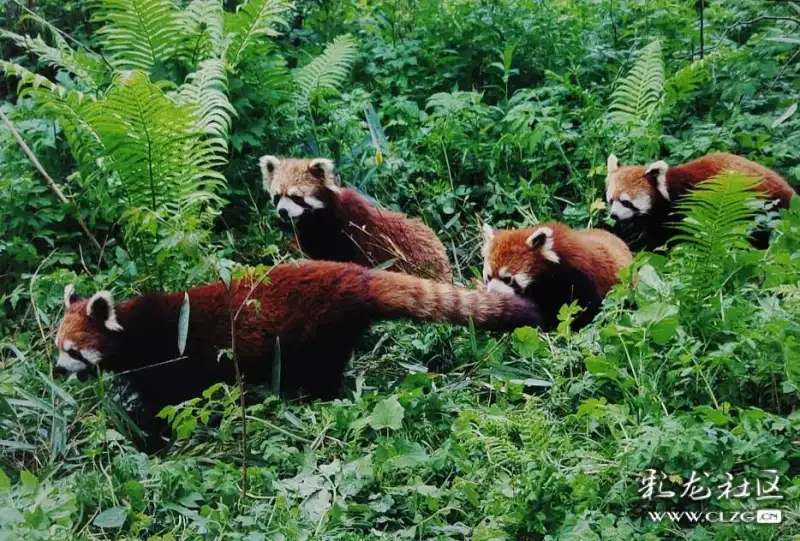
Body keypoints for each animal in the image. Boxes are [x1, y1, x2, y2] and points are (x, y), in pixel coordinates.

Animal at [53, 260, 540, 446]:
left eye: (74, 351)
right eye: (56, 349)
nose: (58, 372)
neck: (135, 329)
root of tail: (355, 275)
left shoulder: (175, 359)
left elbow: (174, 404)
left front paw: (154, 440)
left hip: (316, 333)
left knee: (320, 375)